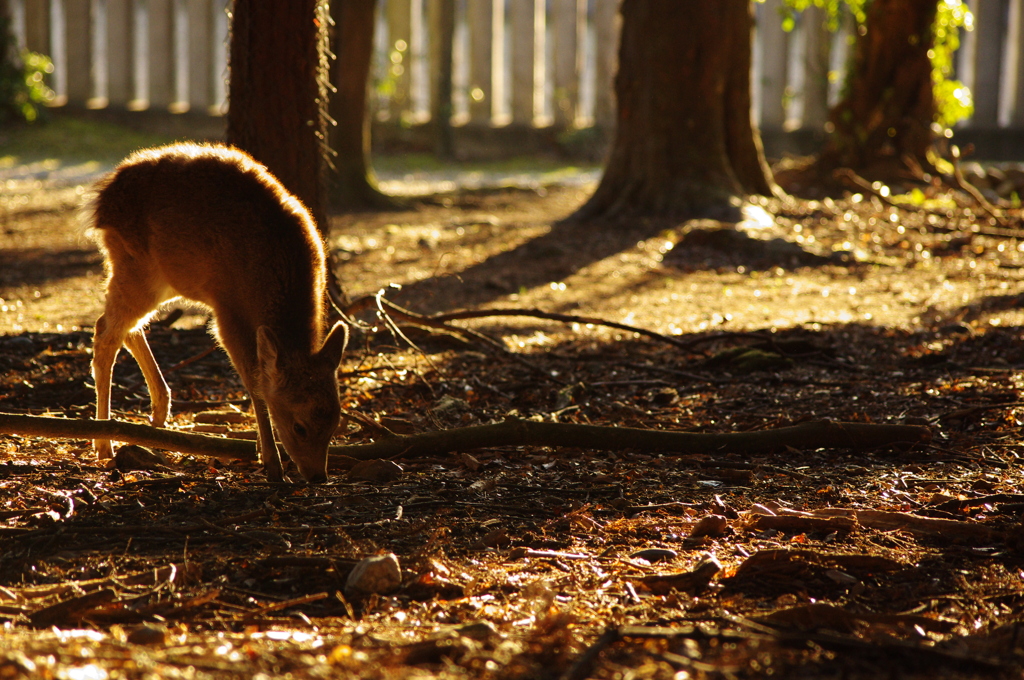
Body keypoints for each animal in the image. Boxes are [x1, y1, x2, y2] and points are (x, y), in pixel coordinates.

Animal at [89, 143, 344, 483]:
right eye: (299, 426)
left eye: (335, 422)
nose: (318, 476)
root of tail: (100, 200)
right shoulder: (227, 310)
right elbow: (254, 380)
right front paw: (271, 463)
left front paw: (264, 453)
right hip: (135, 266)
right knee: (105, 331)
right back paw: (105, 444)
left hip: (162, 278)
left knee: (126, 328)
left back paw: (158, 415)